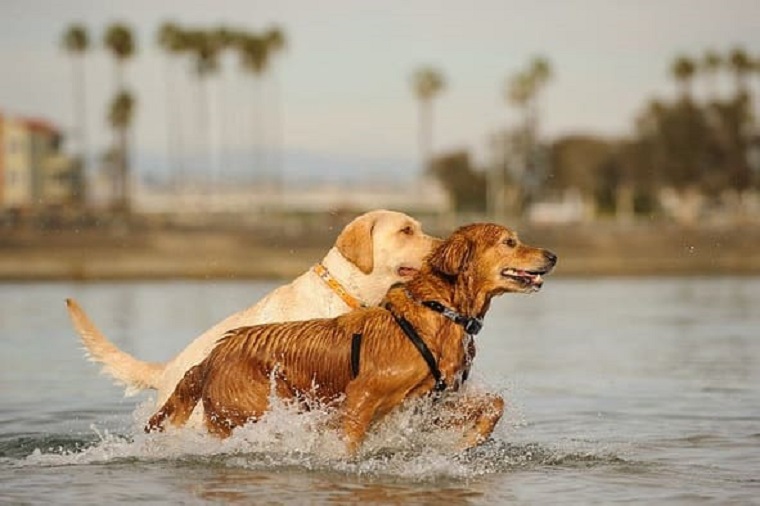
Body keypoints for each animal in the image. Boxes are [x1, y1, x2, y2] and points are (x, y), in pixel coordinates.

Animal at [145, 223, 556, 456]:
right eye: (509, 241)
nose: (552, 255)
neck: (439, 310)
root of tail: (212, 355)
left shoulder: (433, 400)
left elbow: (495, 404)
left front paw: (467, 443)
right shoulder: (362, 396)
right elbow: (350, 445)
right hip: (252, 409)